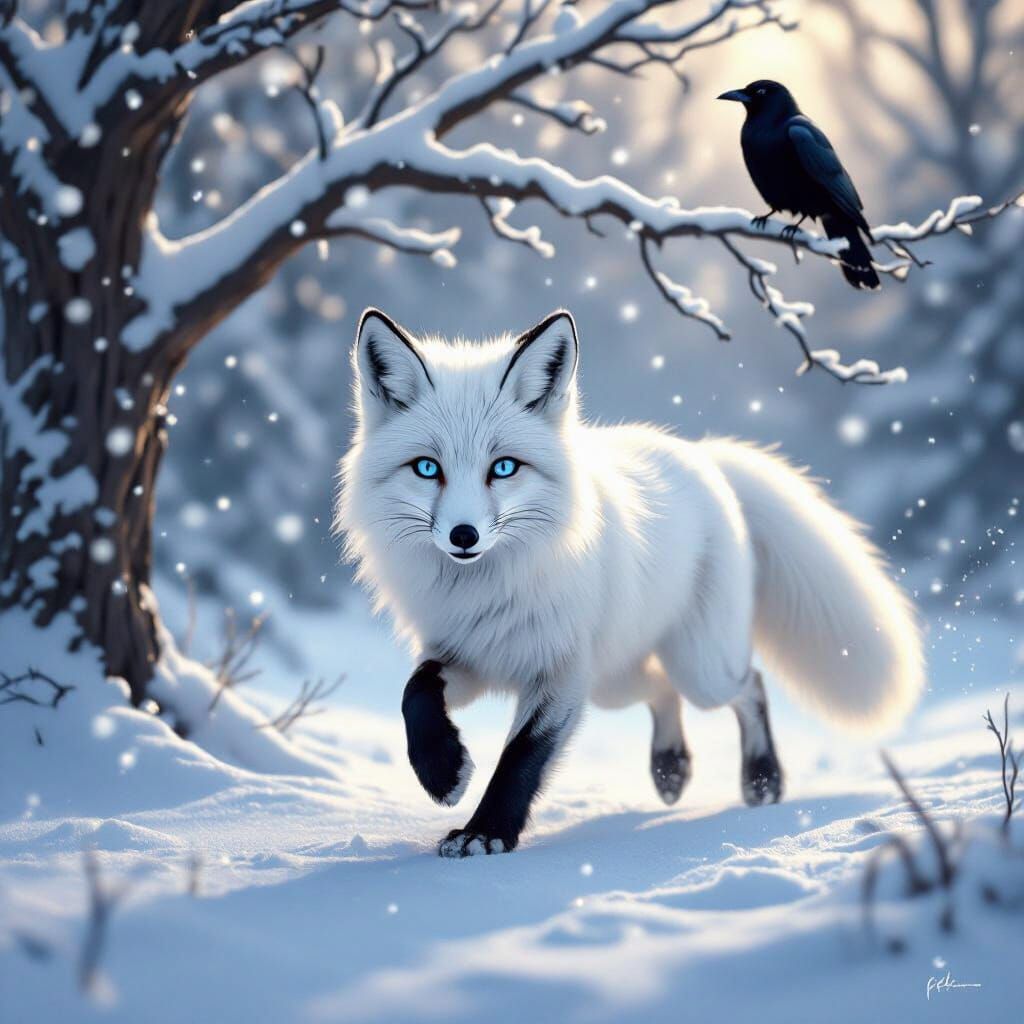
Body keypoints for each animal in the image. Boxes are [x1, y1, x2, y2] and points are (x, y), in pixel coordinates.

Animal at [334, 307, 924, 858]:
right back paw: (671, 767)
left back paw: (762, 779)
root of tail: (704, 456)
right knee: (661, 689)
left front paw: (486, 833)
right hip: (614, 682)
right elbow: (415, 694)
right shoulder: (470, 653)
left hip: (696, 669)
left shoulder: (560, 673)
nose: (464, 535)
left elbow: (522, 755)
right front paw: (442, 772)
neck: (490, 589)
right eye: (426, 468)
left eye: (503, 468)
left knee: (749, 684)